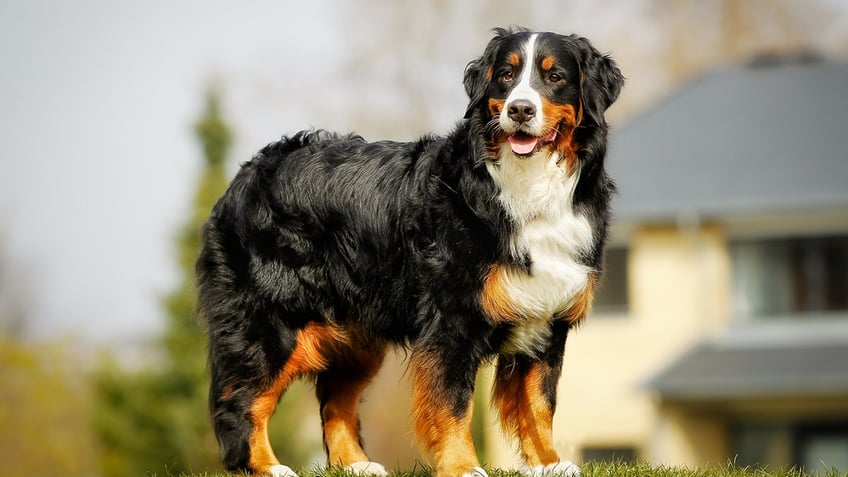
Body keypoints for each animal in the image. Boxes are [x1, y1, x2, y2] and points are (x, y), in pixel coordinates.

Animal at [197, 27, 624, 476]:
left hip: (357, 335)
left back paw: (356, 465)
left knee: (335, 399)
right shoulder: (452, 320)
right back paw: (267, 467)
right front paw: (462, 466)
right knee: (240, 401)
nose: (520, 110)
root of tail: (248, 173)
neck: (527, 186)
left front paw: (548, 463)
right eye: (506, 76)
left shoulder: (548, 317)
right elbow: (453, 402)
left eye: (555, 77)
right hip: (271, 323)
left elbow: (540, 403)